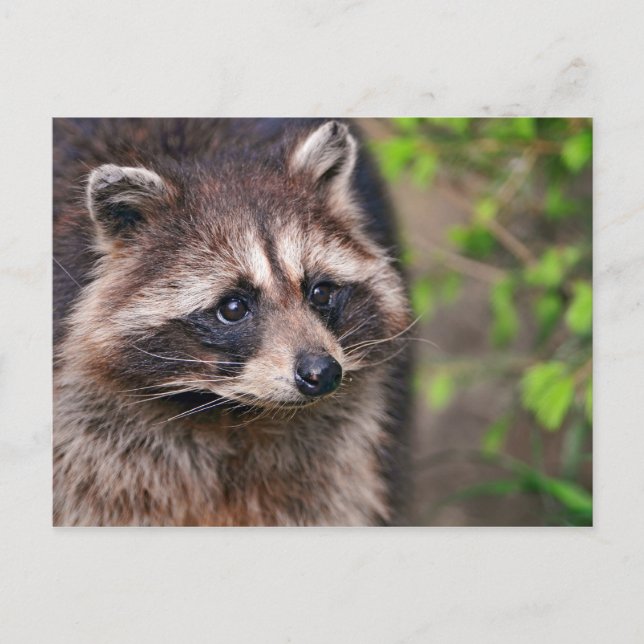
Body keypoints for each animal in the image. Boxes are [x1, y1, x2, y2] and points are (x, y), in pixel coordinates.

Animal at [53, 118, 412, 526]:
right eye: (234, 307)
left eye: (320, 293)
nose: (321, 372)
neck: (229, 413)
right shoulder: (93, 441)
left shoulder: (328, 458)